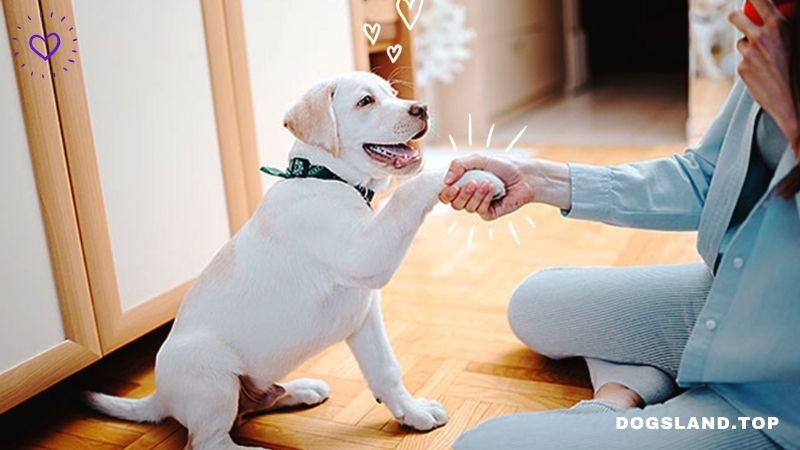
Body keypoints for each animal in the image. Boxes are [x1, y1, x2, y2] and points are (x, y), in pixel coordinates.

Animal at [89, 72, 450, 448]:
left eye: (392, 93)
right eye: (366, 101)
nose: (422, 108)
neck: (325, 176)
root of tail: (160, 396)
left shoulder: (364, 314)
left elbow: (386, 369)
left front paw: (413, 412)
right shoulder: (365, 254)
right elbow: (406, 193)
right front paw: (449, 169)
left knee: (248, 408)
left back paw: (300, 390)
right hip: (211, 372)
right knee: (208, 441)